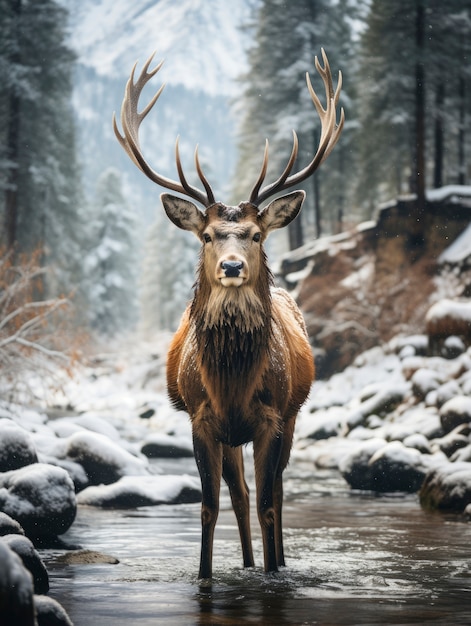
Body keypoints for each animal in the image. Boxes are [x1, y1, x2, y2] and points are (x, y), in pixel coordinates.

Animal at [114, 47, 342, 576]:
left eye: (256, 235)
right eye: (206, 235)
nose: (233, 265)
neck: (233, 382)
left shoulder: (272, 417)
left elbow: (269, 505)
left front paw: (276, 571)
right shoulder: (200, 418)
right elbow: (210, 506)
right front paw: (205, 574)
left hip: (291, 417)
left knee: (273, 492)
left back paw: (274, 560)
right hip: (230, 436)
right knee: (238, 497)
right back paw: (247, 563)